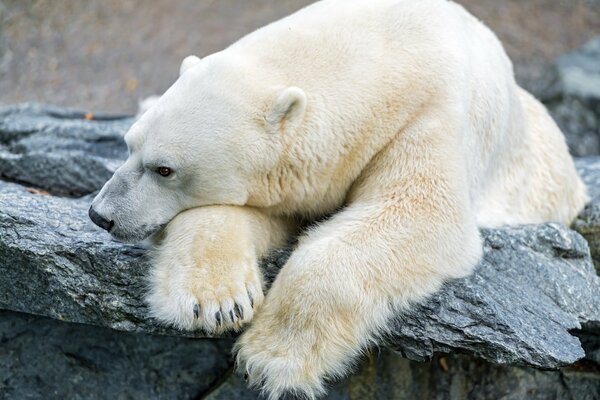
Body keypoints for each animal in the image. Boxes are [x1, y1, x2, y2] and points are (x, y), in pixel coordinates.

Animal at [88, 1, 584, 398]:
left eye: (164, 169)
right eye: (129, 146)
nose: (100, 215)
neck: (382, 51)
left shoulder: (429, 115)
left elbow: (423, 215)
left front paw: (271, 358)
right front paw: (217, 302)